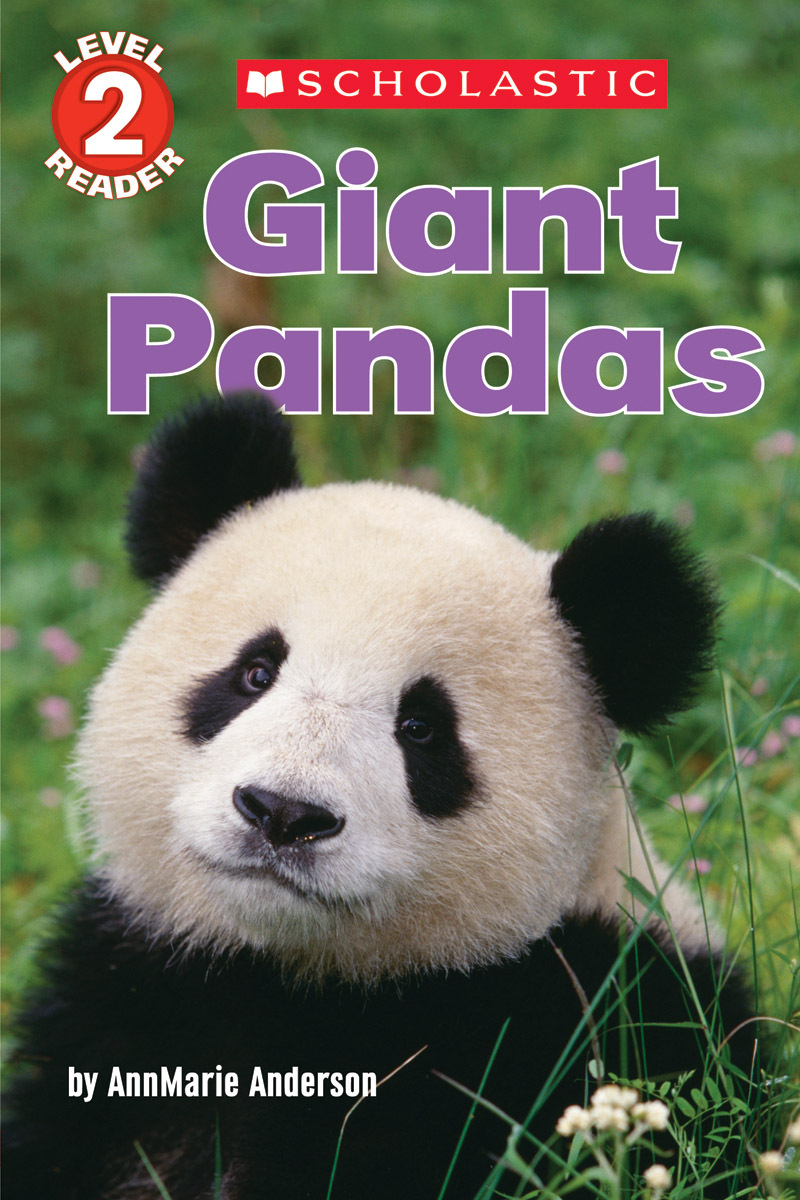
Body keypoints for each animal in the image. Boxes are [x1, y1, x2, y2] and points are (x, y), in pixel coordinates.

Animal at [5, 396, 754, 1200]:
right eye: (255, 673)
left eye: (421, 728)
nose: (283, 813)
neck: (292, 975)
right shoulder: (131, 1001)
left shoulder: (566, 1024)